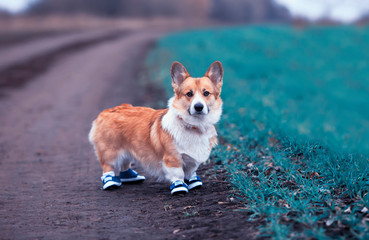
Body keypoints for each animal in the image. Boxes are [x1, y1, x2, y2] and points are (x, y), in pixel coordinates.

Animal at [87, 61, 223, 194]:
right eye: (189, 94)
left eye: (206, 93)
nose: (198, 107)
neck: (194, 126)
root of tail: (106, 111)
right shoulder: (172, 159)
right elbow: (178, 174)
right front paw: (179, 187)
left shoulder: (192, 160)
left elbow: (190, 172)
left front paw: (192, 182)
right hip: (111, 150)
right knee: (107, 166)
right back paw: (110, 182)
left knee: (125, 163)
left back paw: (130, 177)